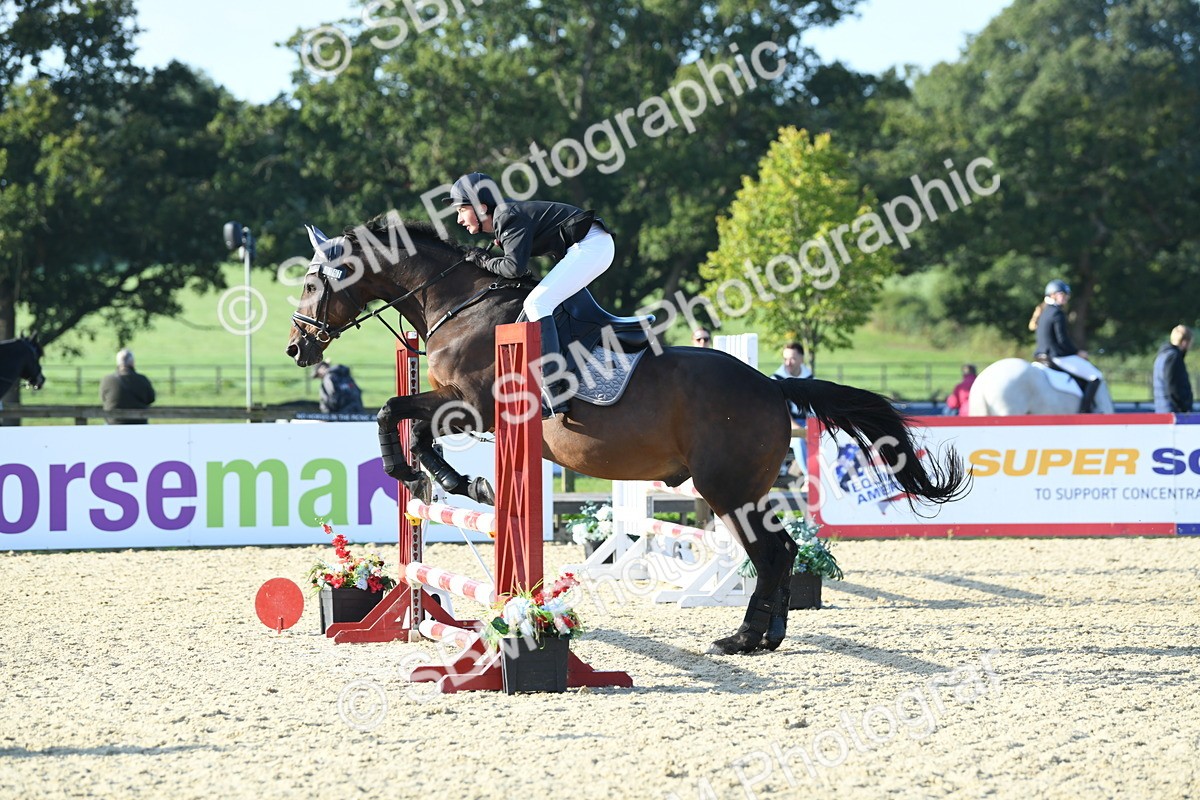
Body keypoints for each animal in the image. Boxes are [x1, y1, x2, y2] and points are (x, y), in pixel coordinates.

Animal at [284, 217, 969, 655]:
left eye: (316, 282)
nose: (296, 348)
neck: (462, 305)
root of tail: (774, 386)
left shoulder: (474, 406)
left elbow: (395, 410)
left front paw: (432, 474)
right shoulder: (467, 408)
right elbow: (405, 415)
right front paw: (449, 478)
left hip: (727, 487)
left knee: (770, 553)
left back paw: (745, 639)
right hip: (746, 488)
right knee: (779, 551)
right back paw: (767, 635)